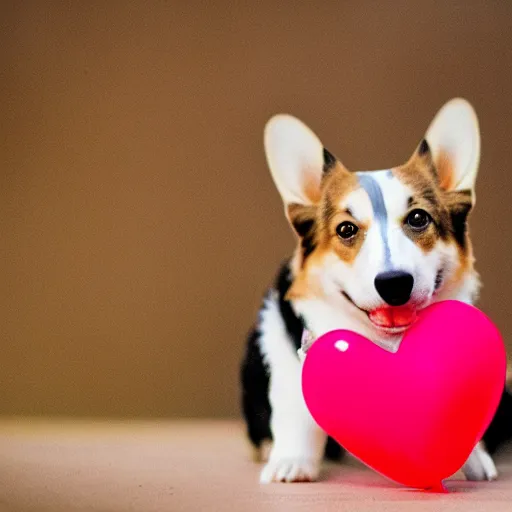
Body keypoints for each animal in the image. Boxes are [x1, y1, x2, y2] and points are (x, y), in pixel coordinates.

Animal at [241, 99, 512, 484]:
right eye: (346, 229)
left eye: (418, 218)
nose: (394, 282)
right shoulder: (288, 347)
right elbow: (296, 411)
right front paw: (291, 463)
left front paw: (471, 459)